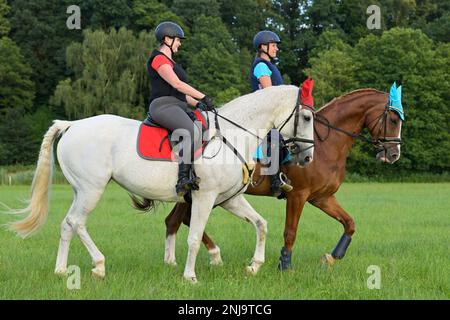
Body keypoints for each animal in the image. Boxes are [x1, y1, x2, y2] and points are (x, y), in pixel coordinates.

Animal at [163, 89, 402, 270]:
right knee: (183, 221)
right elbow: (290, 232)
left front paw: (332, 257)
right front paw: (284, 265)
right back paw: (210, 256)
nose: (394, 154)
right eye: (393, 119)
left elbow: (349, 223)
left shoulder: (322, 197)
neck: (324, 146)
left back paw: (181, 260)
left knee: (174, 221)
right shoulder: (298, 195)